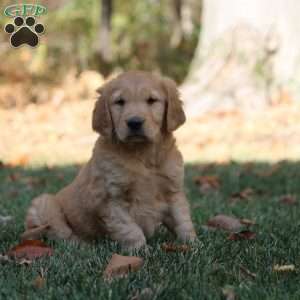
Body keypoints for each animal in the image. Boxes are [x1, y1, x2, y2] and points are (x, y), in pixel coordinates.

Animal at [22, 71, 196, 250]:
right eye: (119, 102)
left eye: (151, 100)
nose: (134, 122)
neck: (142, 154)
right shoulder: (110, 199)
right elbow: (129, 228)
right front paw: (140, 249)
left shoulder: (173, 191)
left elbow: (182, 220)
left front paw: (192, 243)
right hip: (44, 205)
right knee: (59, 232)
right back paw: (81, 244)